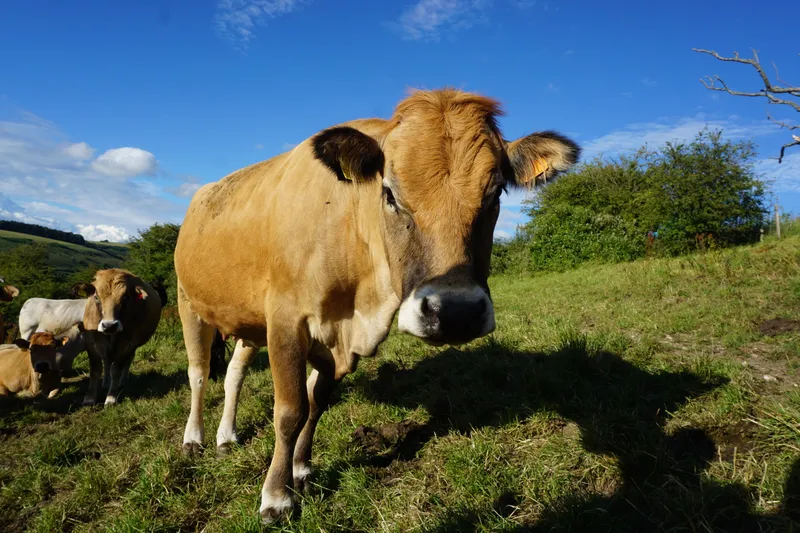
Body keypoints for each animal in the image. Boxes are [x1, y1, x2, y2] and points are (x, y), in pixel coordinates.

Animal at [71, 268, 166, 406]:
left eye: (125, 298)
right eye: (96, 297)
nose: (109, 325)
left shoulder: (127, 345)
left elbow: (116, 370)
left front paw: (111, 397)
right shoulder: (91, 343)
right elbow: (95, 371)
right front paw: (89, 398)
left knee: (128, 360)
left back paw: (122, 380)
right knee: (106, 361)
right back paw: (105, 382)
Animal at [173, 87, 580, 523]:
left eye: (496, 194)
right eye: (389, 193)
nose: (455, 313)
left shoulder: (332, 340)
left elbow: (316, 403)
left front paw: (301, 470)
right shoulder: (286, 319)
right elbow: (289, 411)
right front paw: (277, 497)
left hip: (247, 323)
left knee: (233, 374)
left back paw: (226, 436)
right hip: (188, 303)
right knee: (199, 374)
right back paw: (194, 438)